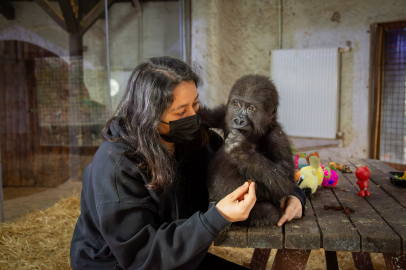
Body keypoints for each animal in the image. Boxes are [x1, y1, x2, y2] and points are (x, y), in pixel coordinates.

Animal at [206, 74, 294, 226]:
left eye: (252, 108)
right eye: (236, 105)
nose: (239, 120)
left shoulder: (278, 137)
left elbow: (286, 180)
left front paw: (241, 151)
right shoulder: (224, 115)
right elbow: (206, 115)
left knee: (269, 210)